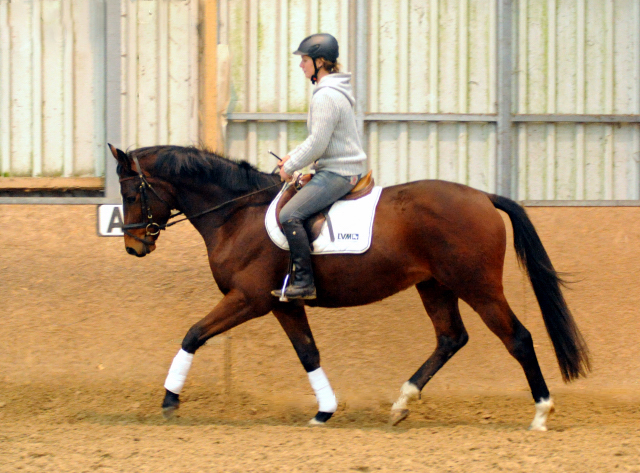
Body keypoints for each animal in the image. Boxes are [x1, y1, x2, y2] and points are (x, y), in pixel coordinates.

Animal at [109, 142, 592, 430]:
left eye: (132, 193)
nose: (133, 246)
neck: (236, 214)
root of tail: (483, 197)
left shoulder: (248, 299)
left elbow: (193, 334)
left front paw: (170, 400)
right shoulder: (282, 303)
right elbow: (308, 353)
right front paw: (324, 411)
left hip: (477, 286)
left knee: (518, 338)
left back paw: (541, 413)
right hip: (435, 286)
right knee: (451, 338)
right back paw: (402, 402)